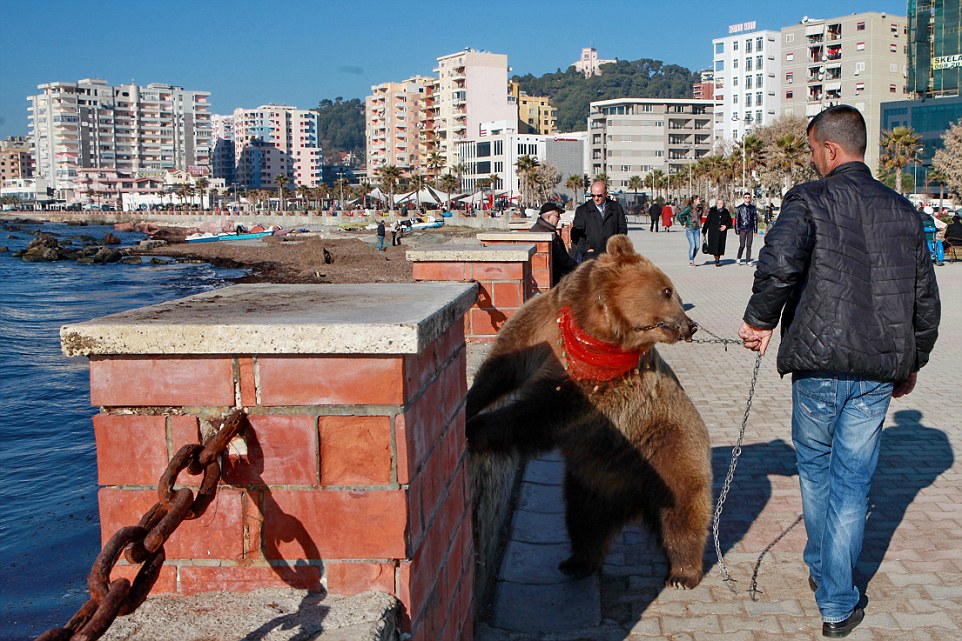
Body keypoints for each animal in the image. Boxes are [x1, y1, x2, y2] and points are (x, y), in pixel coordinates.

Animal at [466, 235, 711, 589]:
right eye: (667, 290)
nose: (689, 326)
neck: (593, 327)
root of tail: (632, 501)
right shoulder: (543, 323)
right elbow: (501, 366)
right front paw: (470, 402)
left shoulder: (598, 383)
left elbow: (544, 409)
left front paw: (478, 428)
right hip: (591, 476)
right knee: (584, 521)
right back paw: (577, 562)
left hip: (670, 443)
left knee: (682, 508)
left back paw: (682, 572)